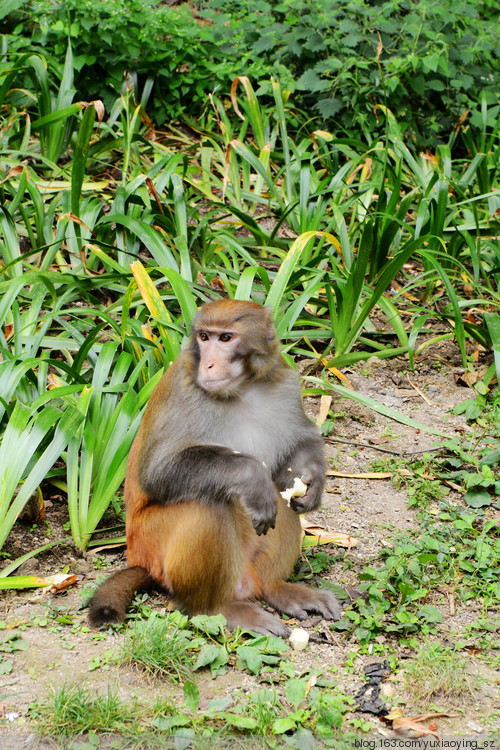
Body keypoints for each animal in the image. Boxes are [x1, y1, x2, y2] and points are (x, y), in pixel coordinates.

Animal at [89, 302, 340, 640]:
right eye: (204, 337)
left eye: (226, 338)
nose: (208, 365)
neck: (242, 390)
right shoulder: (183, 392)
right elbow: (158, 472)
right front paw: (251, 477)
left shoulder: (285, 381)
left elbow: (301, 441)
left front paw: (313, 484)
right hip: (154, 545)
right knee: (207, 505)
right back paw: (213, 609)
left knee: (281, 497)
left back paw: (276, 589)